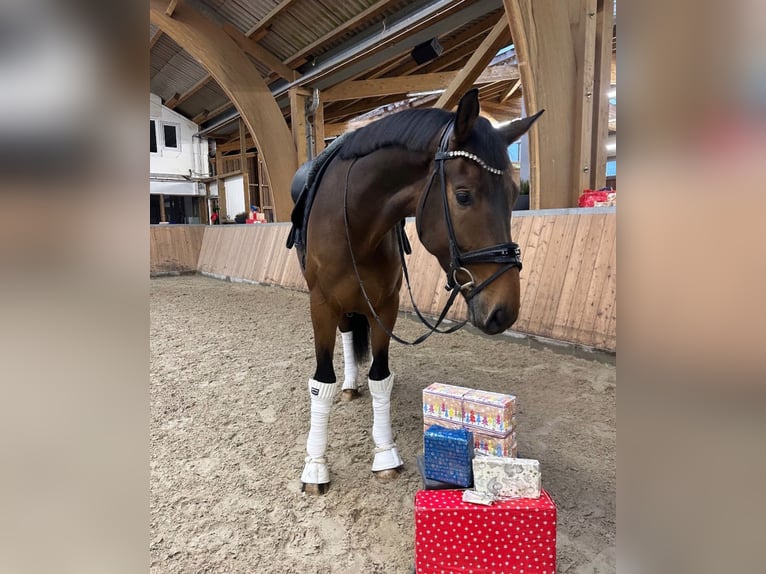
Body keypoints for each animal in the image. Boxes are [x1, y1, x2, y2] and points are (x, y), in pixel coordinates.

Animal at [288, 89, 544, 496]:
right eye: (463, 196)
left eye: (510, 194)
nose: (504, 310)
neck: (354, 223)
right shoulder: (321, 304)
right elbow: (320, 384)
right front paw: (315, 466)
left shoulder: (386, 306)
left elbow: (380, 378)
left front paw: (385, 455)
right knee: (346, 334)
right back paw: (347, 386)